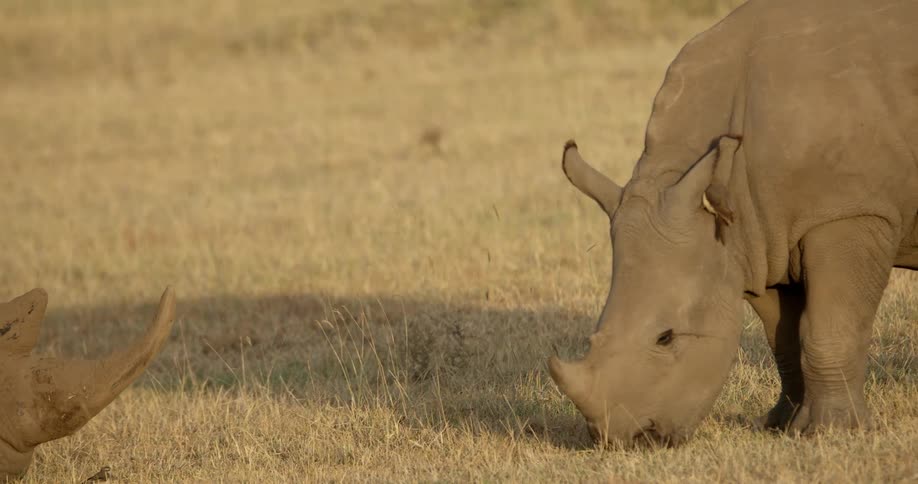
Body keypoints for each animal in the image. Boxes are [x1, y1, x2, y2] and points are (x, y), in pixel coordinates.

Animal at [548, 0, 918, 446]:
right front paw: (781, 425)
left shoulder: (850, 212)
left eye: (666, 337)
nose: (624, 439)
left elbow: (828, 329)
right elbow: (785, 340)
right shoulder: (761, 237)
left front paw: (831, 433)